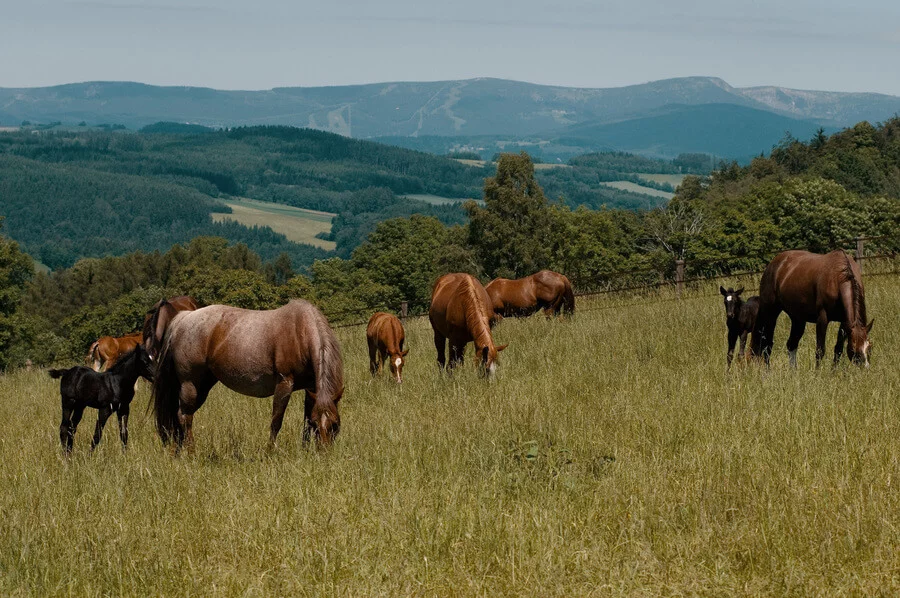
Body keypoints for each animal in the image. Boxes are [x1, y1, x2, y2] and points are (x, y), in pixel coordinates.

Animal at [148, 302, 344, 452]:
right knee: (184, 416)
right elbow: (276, 421)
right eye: (319, 425)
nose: (324, 453)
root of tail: (183, 319)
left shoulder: (311, 387)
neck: (300, 332)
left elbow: (305, 419)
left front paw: (304, 449)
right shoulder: (284, 383)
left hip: (203, 385)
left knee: (179, 417)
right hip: (190, 384)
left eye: (335, 424)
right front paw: (270, 452)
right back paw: (191, 453)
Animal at [748, 251, 876, 368]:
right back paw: (767, 371)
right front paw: (818, 372)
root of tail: (773, 264)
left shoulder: (845, 323)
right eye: (854, 350)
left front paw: (834, 372)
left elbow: (838, 349)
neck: (838, 277)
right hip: (770, 312)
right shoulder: (822, 319)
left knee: (791, 344)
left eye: (869, 347)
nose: (865, 368)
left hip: (797, 319)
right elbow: (820, 350)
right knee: (767, 344)